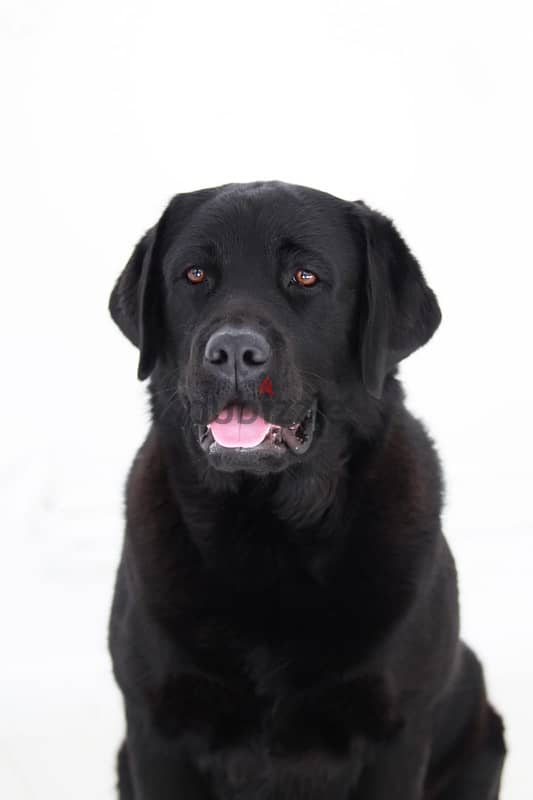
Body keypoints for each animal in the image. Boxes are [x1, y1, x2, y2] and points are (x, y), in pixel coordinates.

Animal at [109, 183, 508, 800]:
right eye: (195, 274)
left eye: (305, 277)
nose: (234, 352)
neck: (267, 535)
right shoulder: (156, 728)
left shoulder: (397, 732)